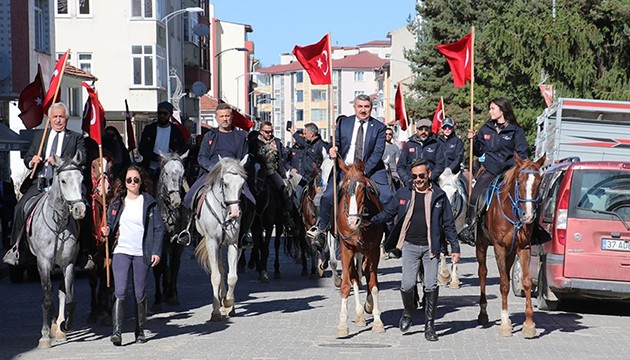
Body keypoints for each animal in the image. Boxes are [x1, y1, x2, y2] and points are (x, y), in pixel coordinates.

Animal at [27, 153, 87, 348]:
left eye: (81, 179)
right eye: (63, 181)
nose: (80, 210)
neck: (59, 225)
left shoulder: (68, 263)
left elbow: (69, 297)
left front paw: (65, 326)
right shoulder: (44, 262)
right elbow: (46, 298)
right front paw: (45, 336)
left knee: (60, 292)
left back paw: (59, 328)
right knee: (48, 293)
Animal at [195, 156, 249, 320]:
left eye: (242, 184)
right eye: (225, 183)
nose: (235, 213)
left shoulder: (233, 243)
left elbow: (232, 277)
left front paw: (229, 303)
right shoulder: (212, 242)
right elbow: (216, 276)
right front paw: (216, 311)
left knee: (224, 269)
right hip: (214, 245)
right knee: (219, 268)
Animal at [336, 160, 386, 338]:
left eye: (363, 188)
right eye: (344, 188)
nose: (352, 222)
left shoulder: (374, 250)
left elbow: (373, 284)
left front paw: (377, 321)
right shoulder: (346, 250)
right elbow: (346, 285)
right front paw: (342, 325)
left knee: (366, 274)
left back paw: (369, 306)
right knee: (355, 278)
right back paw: (359, 315)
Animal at [476, 154, 544, 338]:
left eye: (539, 183)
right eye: (519, 182)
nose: (528, 216)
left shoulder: (523, 248)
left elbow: (526, 281)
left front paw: (529, 324)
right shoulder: (499, 248)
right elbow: (504, 285)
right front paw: (505, 323)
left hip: (511, 252)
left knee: (505, 273)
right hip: (481, 244)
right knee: (483, 272)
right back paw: (483, 313)